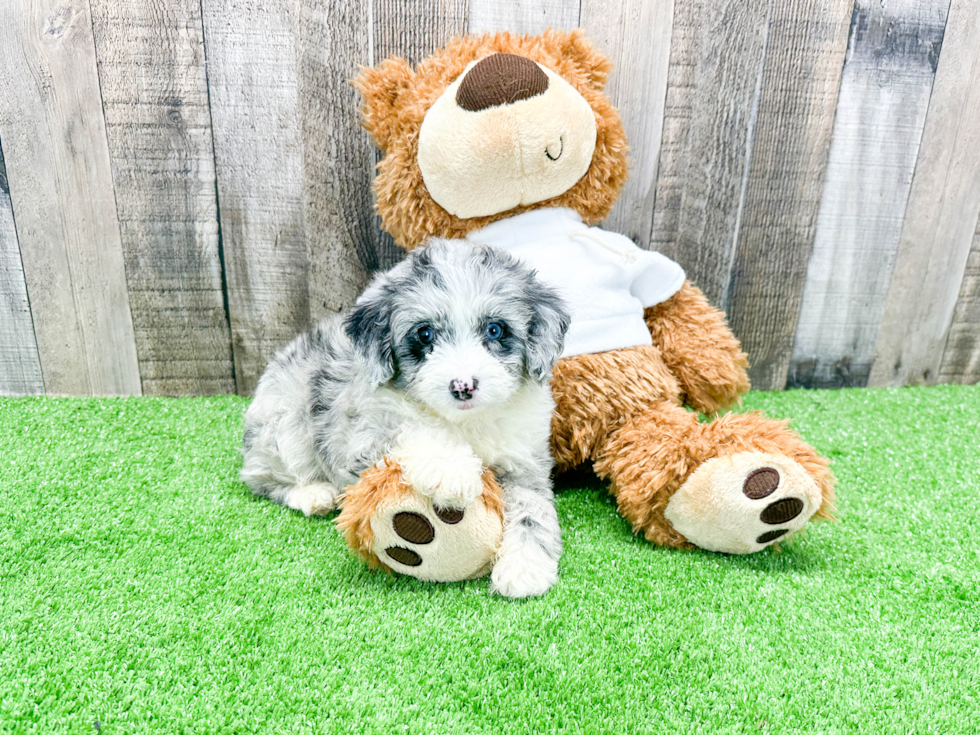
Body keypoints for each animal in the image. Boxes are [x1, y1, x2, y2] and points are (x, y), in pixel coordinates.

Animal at [240, 240, 572, 600]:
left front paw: (524, 567)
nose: (463, 386)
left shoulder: (526, 460)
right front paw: (451, 470)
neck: (464, 423)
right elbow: (408, 429)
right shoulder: (361, 436)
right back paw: (313, 494)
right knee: (262, 477)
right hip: (283, 425)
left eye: (495, 329)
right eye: (425, 334)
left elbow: (532, 509)